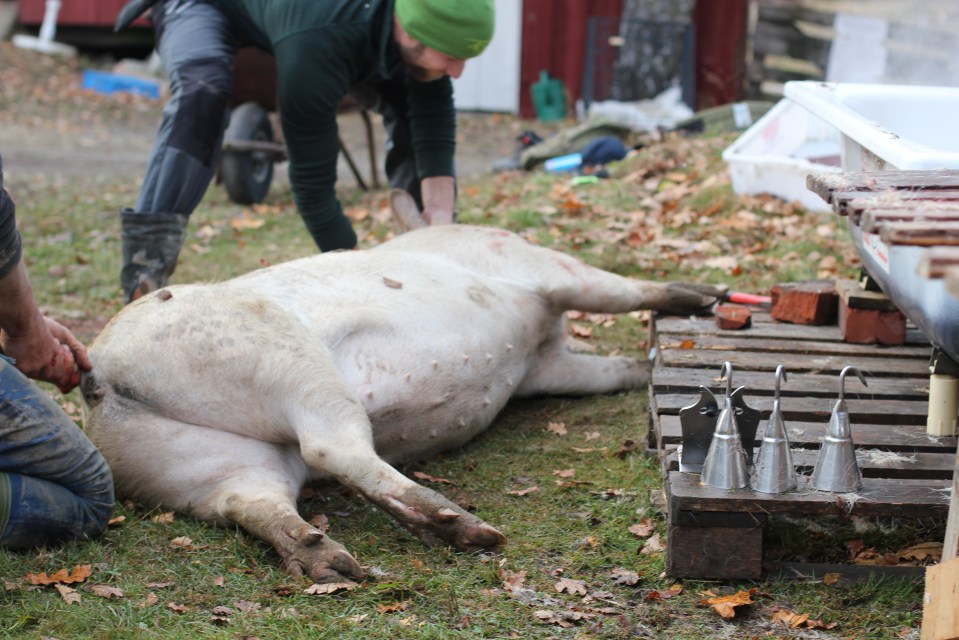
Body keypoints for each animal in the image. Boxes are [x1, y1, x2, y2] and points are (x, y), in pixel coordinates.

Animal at [81, 222, 723, 584]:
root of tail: (98, 376)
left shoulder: (546, 366)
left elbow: (609, 370)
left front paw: (645, 366)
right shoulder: (542, 270)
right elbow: (622, 290)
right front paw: (706, 298)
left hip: (197, 465)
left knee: (250, 500)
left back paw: (334, 564)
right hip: (279, 352)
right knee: (330, 447)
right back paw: (471, 531)